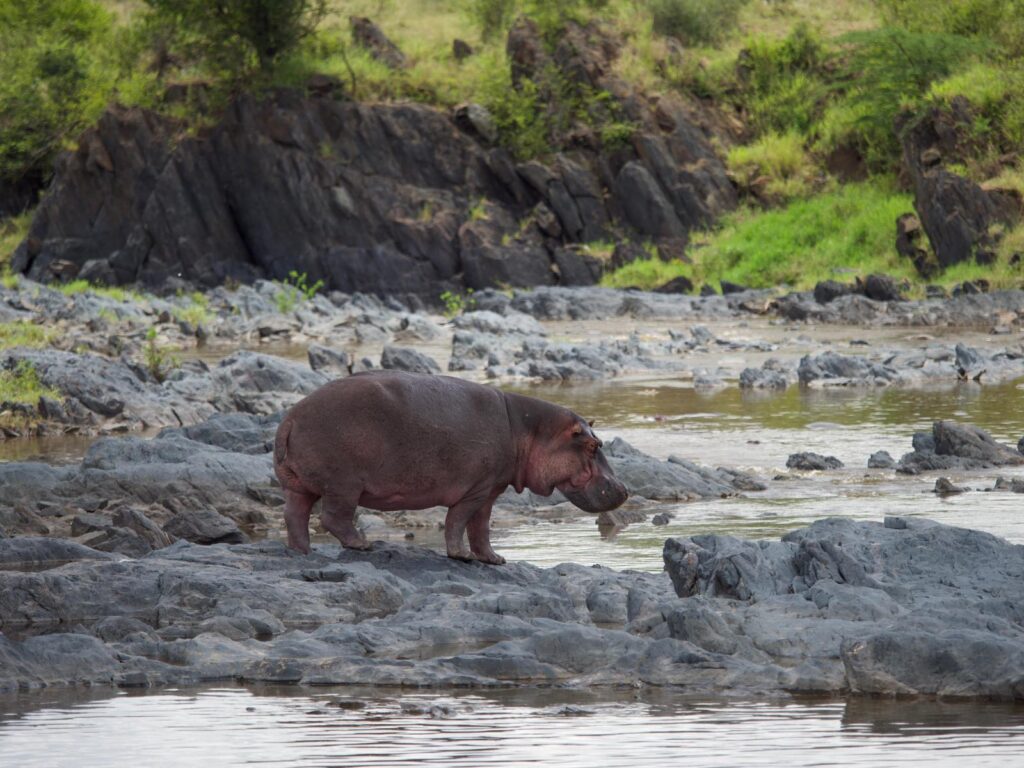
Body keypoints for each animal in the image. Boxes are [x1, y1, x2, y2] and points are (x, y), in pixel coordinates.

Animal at [272, 370, 626, 565]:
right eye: (593, 446)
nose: (624, 488)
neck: (532, 431)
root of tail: (290, 418)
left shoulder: (491, 490)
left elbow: (481, 528)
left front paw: (494, 559)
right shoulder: (475, 490)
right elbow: (458, 521)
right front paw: (462, 556)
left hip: (297, 485)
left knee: (294, 515)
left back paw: (302, 551)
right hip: (343, 484)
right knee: (332, 517)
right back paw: (361, 543)